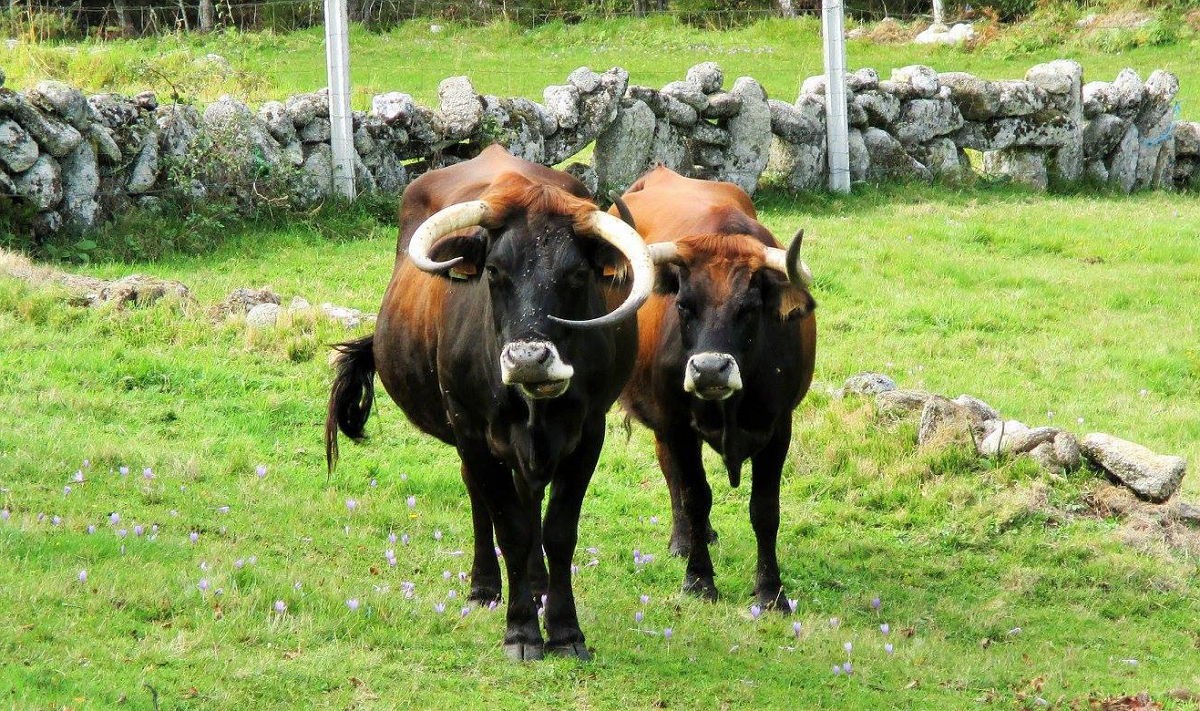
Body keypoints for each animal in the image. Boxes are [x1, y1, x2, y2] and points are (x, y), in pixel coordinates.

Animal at [326, 145, 657, 662]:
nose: (529, 360)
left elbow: (558, 530)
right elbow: (511, 528)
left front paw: (565, 631)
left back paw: (538, 586)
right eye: (496, 271)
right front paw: (522, 632)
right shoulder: (474, 432)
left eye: (577, 274)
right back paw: (485, 587)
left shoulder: (589, 434)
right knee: (481, 497)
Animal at [609, 165, 816, 610]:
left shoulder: (780, 428)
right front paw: (699, 579)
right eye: (684, 305)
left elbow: (765, 509)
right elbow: (695, 495)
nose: (709, 370)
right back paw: (685, 540)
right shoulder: (676, 425)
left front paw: (771, 591)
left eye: (749, 308)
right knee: (672, 474)